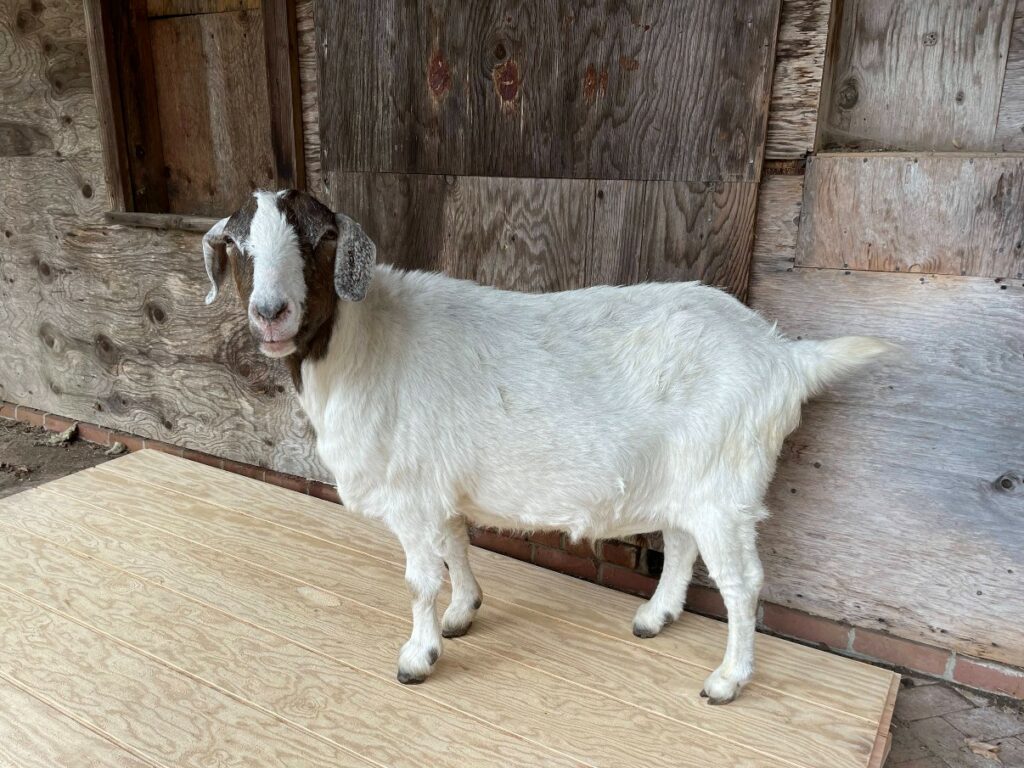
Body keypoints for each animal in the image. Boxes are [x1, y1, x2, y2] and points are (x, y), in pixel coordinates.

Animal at [203, 191, 892, 704]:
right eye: (239, 245)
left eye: (320, 239)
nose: (270, 312)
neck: (364, 344)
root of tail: (784, 357)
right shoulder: (440, 487)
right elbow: (457, 547)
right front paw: (464, 613)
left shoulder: (412, 494)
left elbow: (422, 579)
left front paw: (418, 657)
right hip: (690, 474)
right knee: (680, 543)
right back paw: (656, 617)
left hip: (727, 485)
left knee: (741, 582)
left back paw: (727, 680)